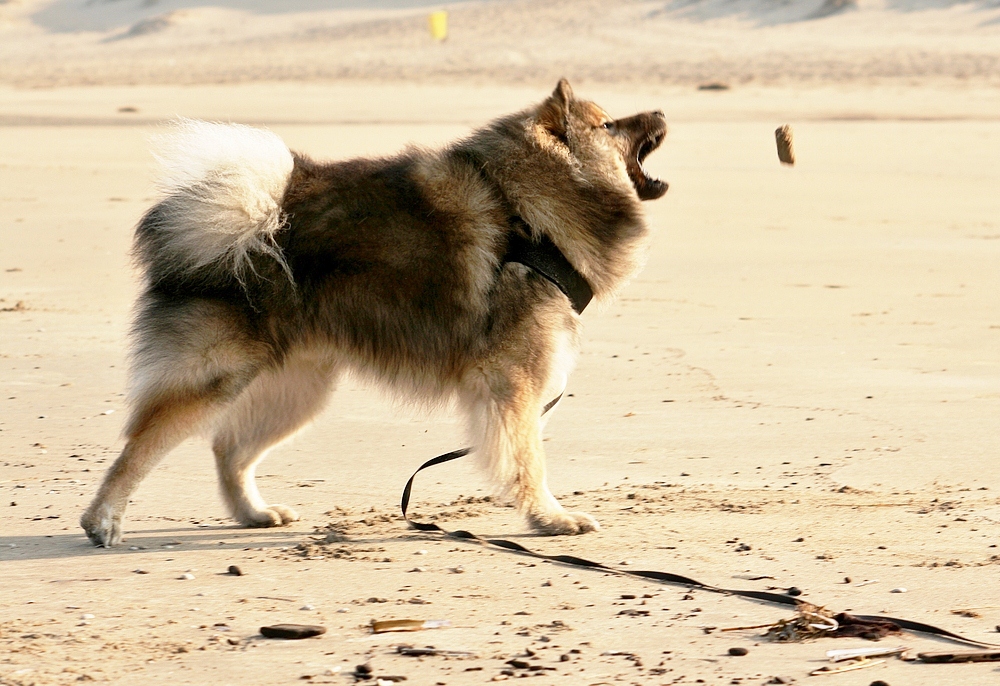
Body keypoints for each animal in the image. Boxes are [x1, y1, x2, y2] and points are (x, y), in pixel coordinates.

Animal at [82, 79, 668, 548]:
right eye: (610, 124)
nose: (661, 110)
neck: (530, 210)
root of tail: (253, 218)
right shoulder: (513, 381)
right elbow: (527, 460)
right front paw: (550, 519)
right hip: (218, 376)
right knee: (142, 445)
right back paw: (103, 520)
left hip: (300, 388)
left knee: (228, 448)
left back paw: (254, 513)